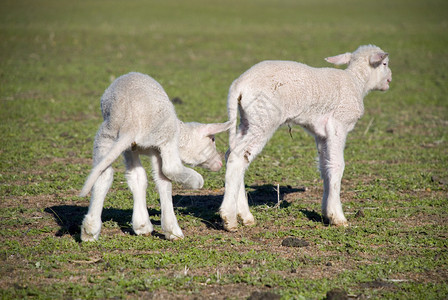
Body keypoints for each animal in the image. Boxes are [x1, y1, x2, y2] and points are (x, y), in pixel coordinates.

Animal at [78, 72, 229, 241]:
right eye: (213, 139)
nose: (220, 163)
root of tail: (131, 120)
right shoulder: (160, 145)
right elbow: (163, 179)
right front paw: (170, 229)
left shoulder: (133, 149)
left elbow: (138, 177)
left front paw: (142, 226)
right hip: (163, 133)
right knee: (171, 168)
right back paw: (195, 182)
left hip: (107, 134)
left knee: (103, 173)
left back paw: (89, 230)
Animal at [220, 45, 392, 232]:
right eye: (384, 63)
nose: (390, 79)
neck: (357, 82)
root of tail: (238, 85)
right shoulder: (338, 124)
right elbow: (337, 165)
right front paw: (339, 217)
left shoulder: (321, 133)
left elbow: (325, 167)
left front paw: (327, 212)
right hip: (263, 118)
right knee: (238, 157)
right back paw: (229, 219)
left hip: (248, 119)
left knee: (232, 154)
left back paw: (245, 216)